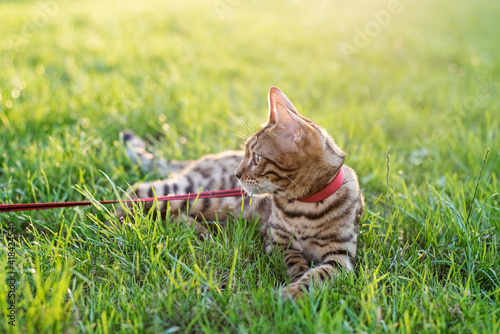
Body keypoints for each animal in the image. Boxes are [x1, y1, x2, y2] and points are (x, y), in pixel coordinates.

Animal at [117, 87, 364, 300]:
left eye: (257, 158)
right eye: (246, 154)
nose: (236, 173)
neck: (304, 205)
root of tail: (203, 159)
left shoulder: (341, 257)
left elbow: (319, 276)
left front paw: (295, 291)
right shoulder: (275, 239)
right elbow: (293, 258)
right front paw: (295, 280)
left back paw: (200, 231)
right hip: (193, 193)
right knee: (136, 193)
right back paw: (125, 225)